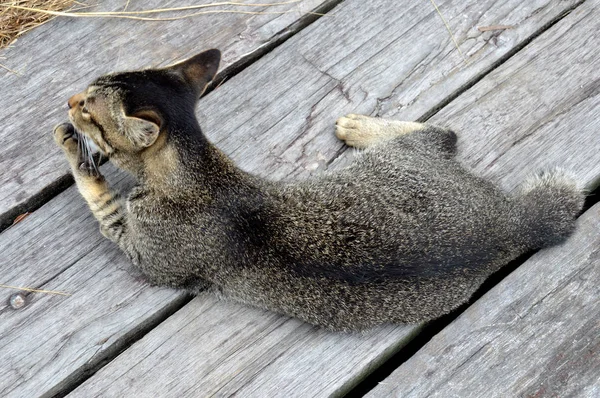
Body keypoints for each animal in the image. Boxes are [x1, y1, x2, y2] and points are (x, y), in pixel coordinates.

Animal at [54, 48, 584, 332]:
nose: (70, 99)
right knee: (448, 133)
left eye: (89, 109)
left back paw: (358, 126)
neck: (199, 168)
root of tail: (514, 222)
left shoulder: (143, 252)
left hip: (402, 158)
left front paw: (72, 146)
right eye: (85, 94)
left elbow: (98, 195)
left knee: (444, 131)